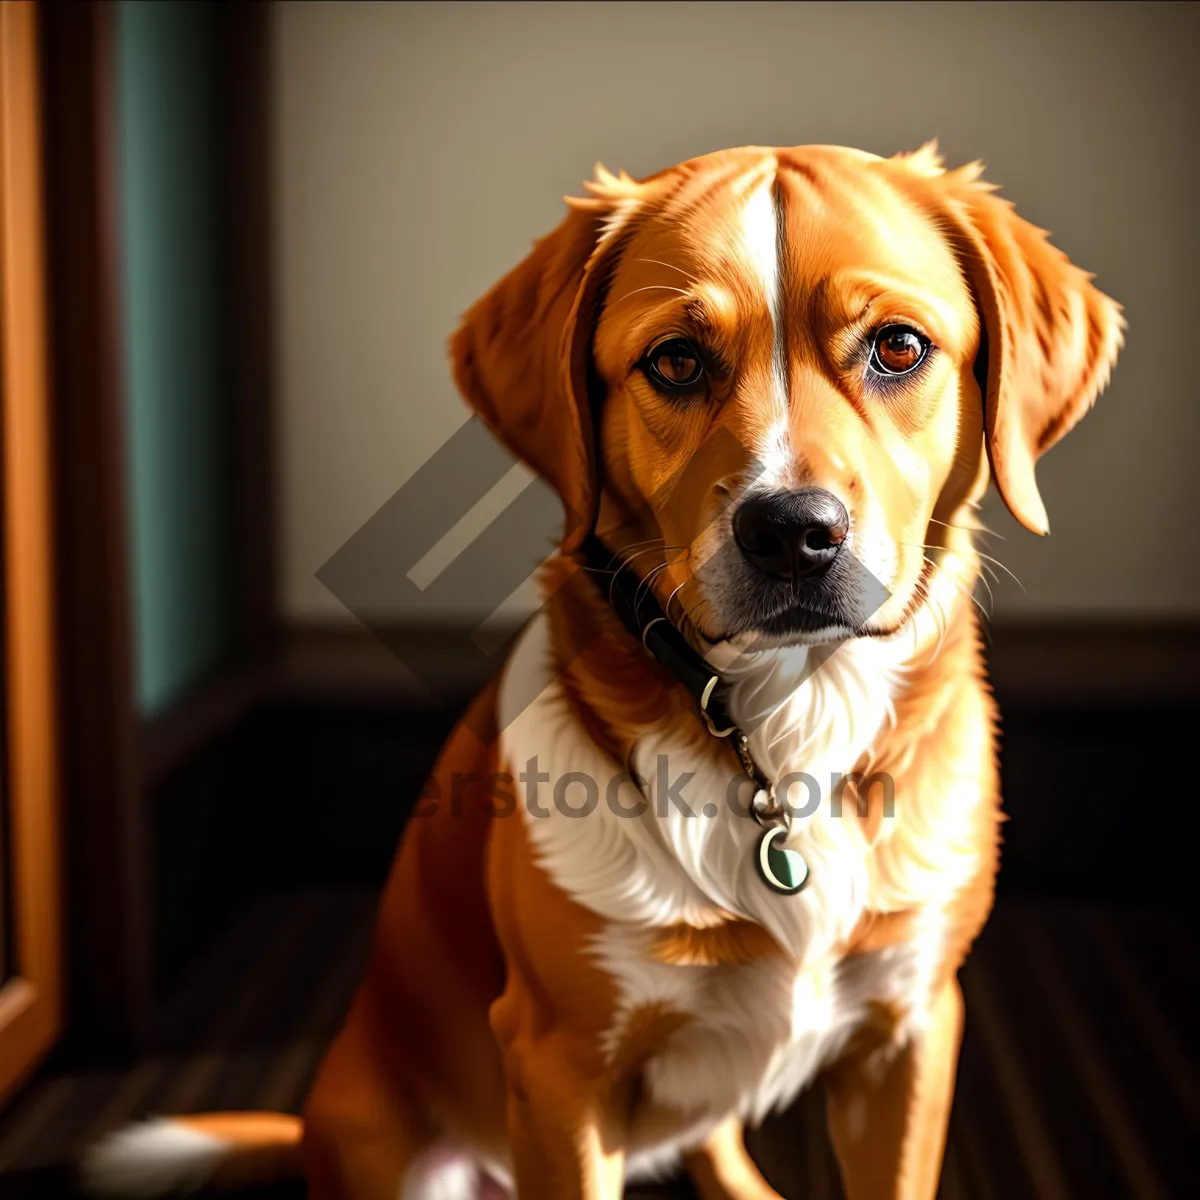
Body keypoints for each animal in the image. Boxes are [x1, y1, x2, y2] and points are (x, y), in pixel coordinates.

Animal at [87, 142, 1123, 1200]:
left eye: (900, 348)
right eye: (675, 360)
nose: (794, 532)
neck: (787, 724)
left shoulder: (909, 1034)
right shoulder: (562, 1067)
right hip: (396, 1145)